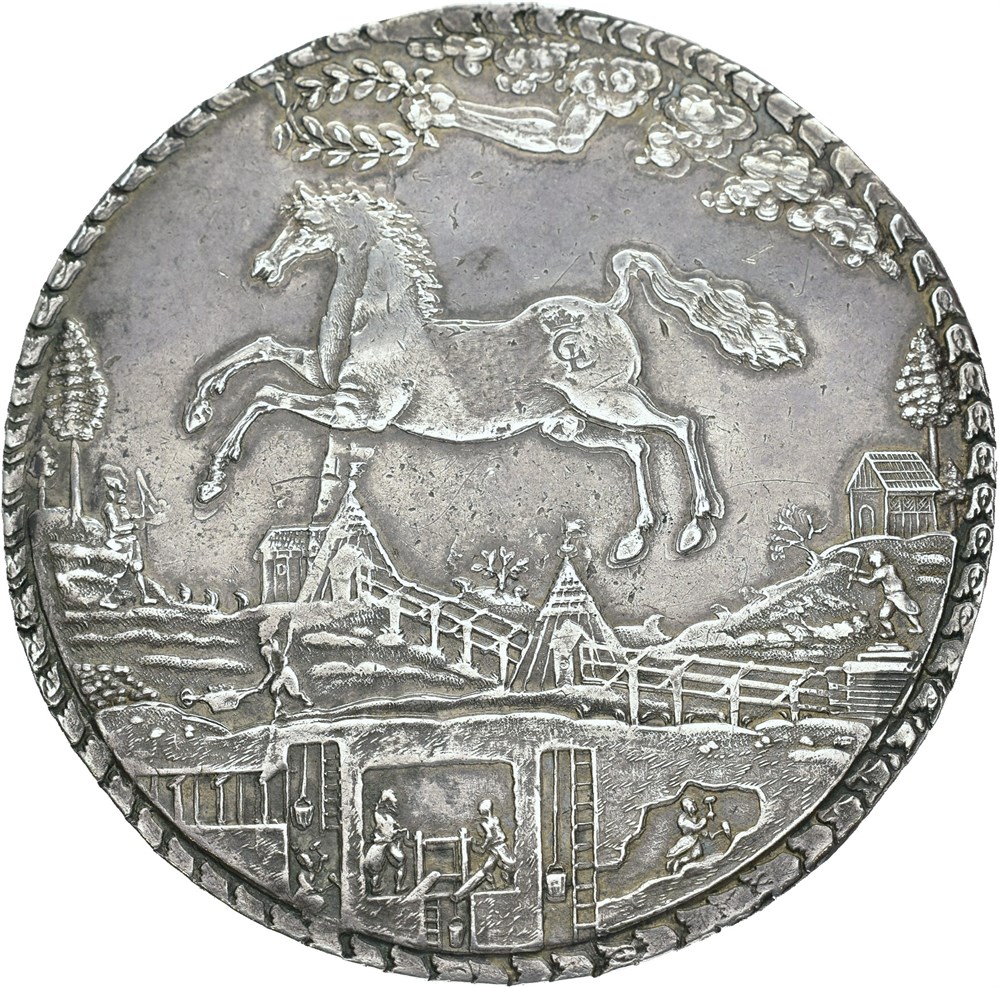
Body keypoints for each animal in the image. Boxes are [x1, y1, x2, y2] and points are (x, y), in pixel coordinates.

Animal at [184, 181, 804, 565]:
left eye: (306, 223)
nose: (262, 268)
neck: (379, 321)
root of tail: (610, 304)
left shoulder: (363, 411)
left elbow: (266, 394)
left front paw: (213, 478)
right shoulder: (333, 385)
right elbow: (262, 350)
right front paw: (197, 408)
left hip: (608, 399)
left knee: (680, 426)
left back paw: (698, 524)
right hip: (567, 424)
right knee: (638, 446)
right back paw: (636, 539)